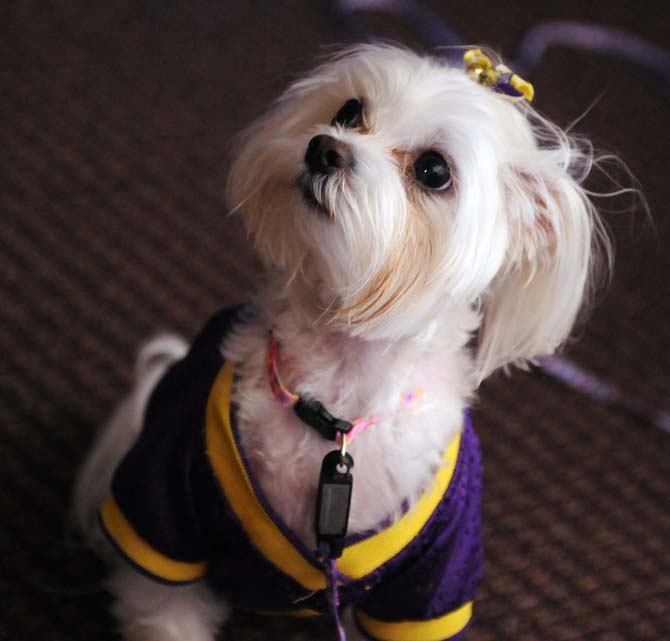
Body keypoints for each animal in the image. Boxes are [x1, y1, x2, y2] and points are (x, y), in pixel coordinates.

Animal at [73, 46, 616, 640]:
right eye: (350, 111)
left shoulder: (435, 572)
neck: (336, 398)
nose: (324, 148)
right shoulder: (165, 499)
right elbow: (166, 608)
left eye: (434, 170)